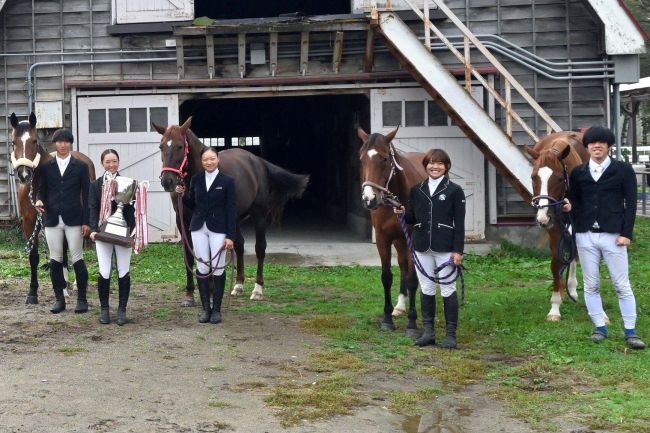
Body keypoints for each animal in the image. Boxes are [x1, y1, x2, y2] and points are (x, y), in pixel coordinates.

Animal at [8, 111, 95, 304]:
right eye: (13, 142)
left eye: (34, 141)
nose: (24, 174)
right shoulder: (29, 222)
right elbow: (34, 256)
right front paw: (32, 293)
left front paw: (62, 288)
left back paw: (74, 284)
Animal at [156, 116, 310, 306]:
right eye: (161, 146)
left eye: (179, 146)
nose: (167, 181)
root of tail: (258, 161)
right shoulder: (183, 221)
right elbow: (190, 257)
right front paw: (190, 295)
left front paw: (212, 293)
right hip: (233, 219)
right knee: (240, 246)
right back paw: (238, 285)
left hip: (259, 215)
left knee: (260, 248)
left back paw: (257, 289)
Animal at [354, 126, 426, 336]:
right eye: (361, 159)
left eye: (385, 159)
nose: (369, 199)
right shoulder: (383, 238)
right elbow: (387, 277)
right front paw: (387, 319)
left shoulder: (412, 239)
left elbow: (412, 279)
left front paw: (412, 324)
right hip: (399, 240)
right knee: (402, 265)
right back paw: (400, 307)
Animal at [528, 130, 608, 318]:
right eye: (533, 177)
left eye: (558, 178)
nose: (542, 217)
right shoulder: (555, 226)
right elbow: (556, 262)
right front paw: (555, 306)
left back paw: (572, 288)